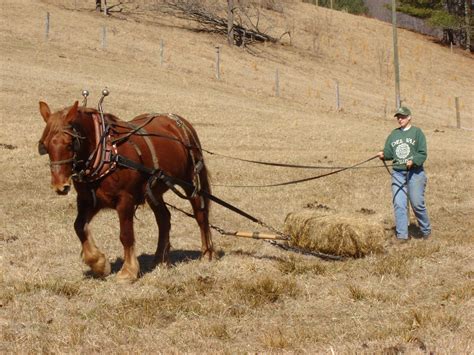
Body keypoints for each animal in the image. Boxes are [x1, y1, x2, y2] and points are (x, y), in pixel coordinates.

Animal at [38, 101, 214, 282]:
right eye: (44, 145)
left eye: (70, 143)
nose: (60, 186)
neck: (106, 154)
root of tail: (178, 121)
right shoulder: (88, 200)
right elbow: (78, 226)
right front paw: (98, 263)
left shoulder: (125, 200)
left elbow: (126, 235)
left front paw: (128, 271)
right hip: (153, 192)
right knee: (164, 219)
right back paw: (160, 259)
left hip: (191, 180)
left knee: (200, 213)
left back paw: (206, 253)